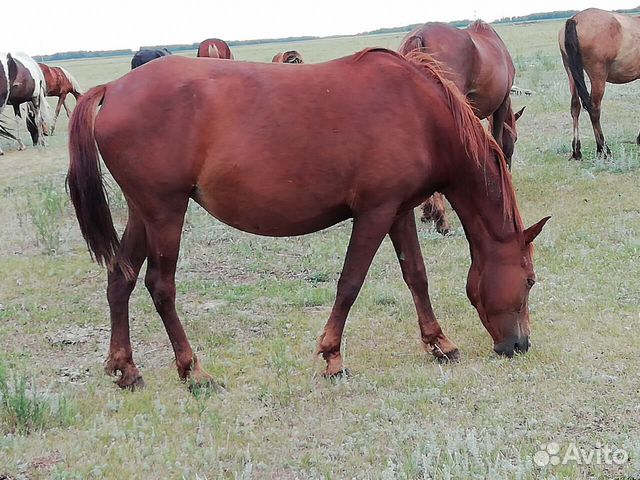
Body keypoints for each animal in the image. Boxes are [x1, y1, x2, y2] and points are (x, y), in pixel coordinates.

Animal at [66, 48, 552, 392]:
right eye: (529, 281)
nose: (520, 345)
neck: (421, 114)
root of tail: (113, 88)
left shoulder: (398, 211)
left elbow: (416, 275)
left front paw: (439, 343)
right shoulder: (374, 213)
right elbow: (350, 283)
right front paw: (332, 357)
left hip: (143, 213)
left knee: (121, 278)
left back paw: (126, 369)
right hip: (166, 212)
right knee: (160, 287)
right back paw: (193, 371)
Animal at [398, 20, 524, 234]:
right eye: (515, 138)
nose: (509, 168)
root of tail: (420, 34)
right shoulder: (501, 104)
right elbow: (495, 142)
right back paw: (441, 219)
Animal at [556, 7, 640, 160]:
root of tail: (575, 20)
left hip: (570, 72)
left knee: (575, 107)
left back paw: (577, 151)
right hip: (597, 75)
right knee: (594, 108)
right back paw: (603, 149)